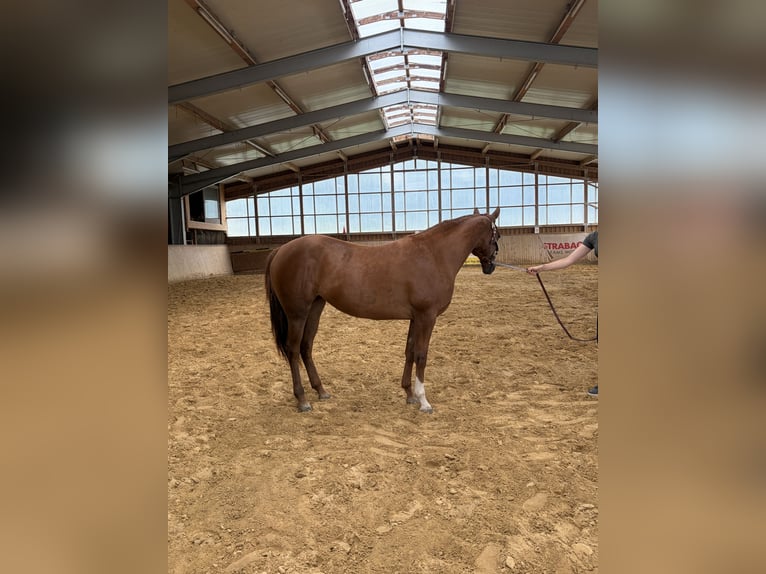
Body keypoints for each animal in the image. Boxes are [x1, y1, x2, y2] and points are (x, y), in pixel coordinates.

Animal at [264, 207, 500, 413]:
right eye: (496, 235)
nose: (490, 266)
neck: (433, 255)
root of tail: (281, 250)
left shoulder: (415, 318)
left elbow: (410, 351)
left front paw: (409, 394)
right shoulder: (427, 316)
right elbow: (421, 355)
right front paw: (423, 401)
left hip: (315, 307)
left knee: (306, 346)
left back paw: (321, 390)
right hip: (297, 314)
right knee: (293, 350)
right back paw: (302, 400)